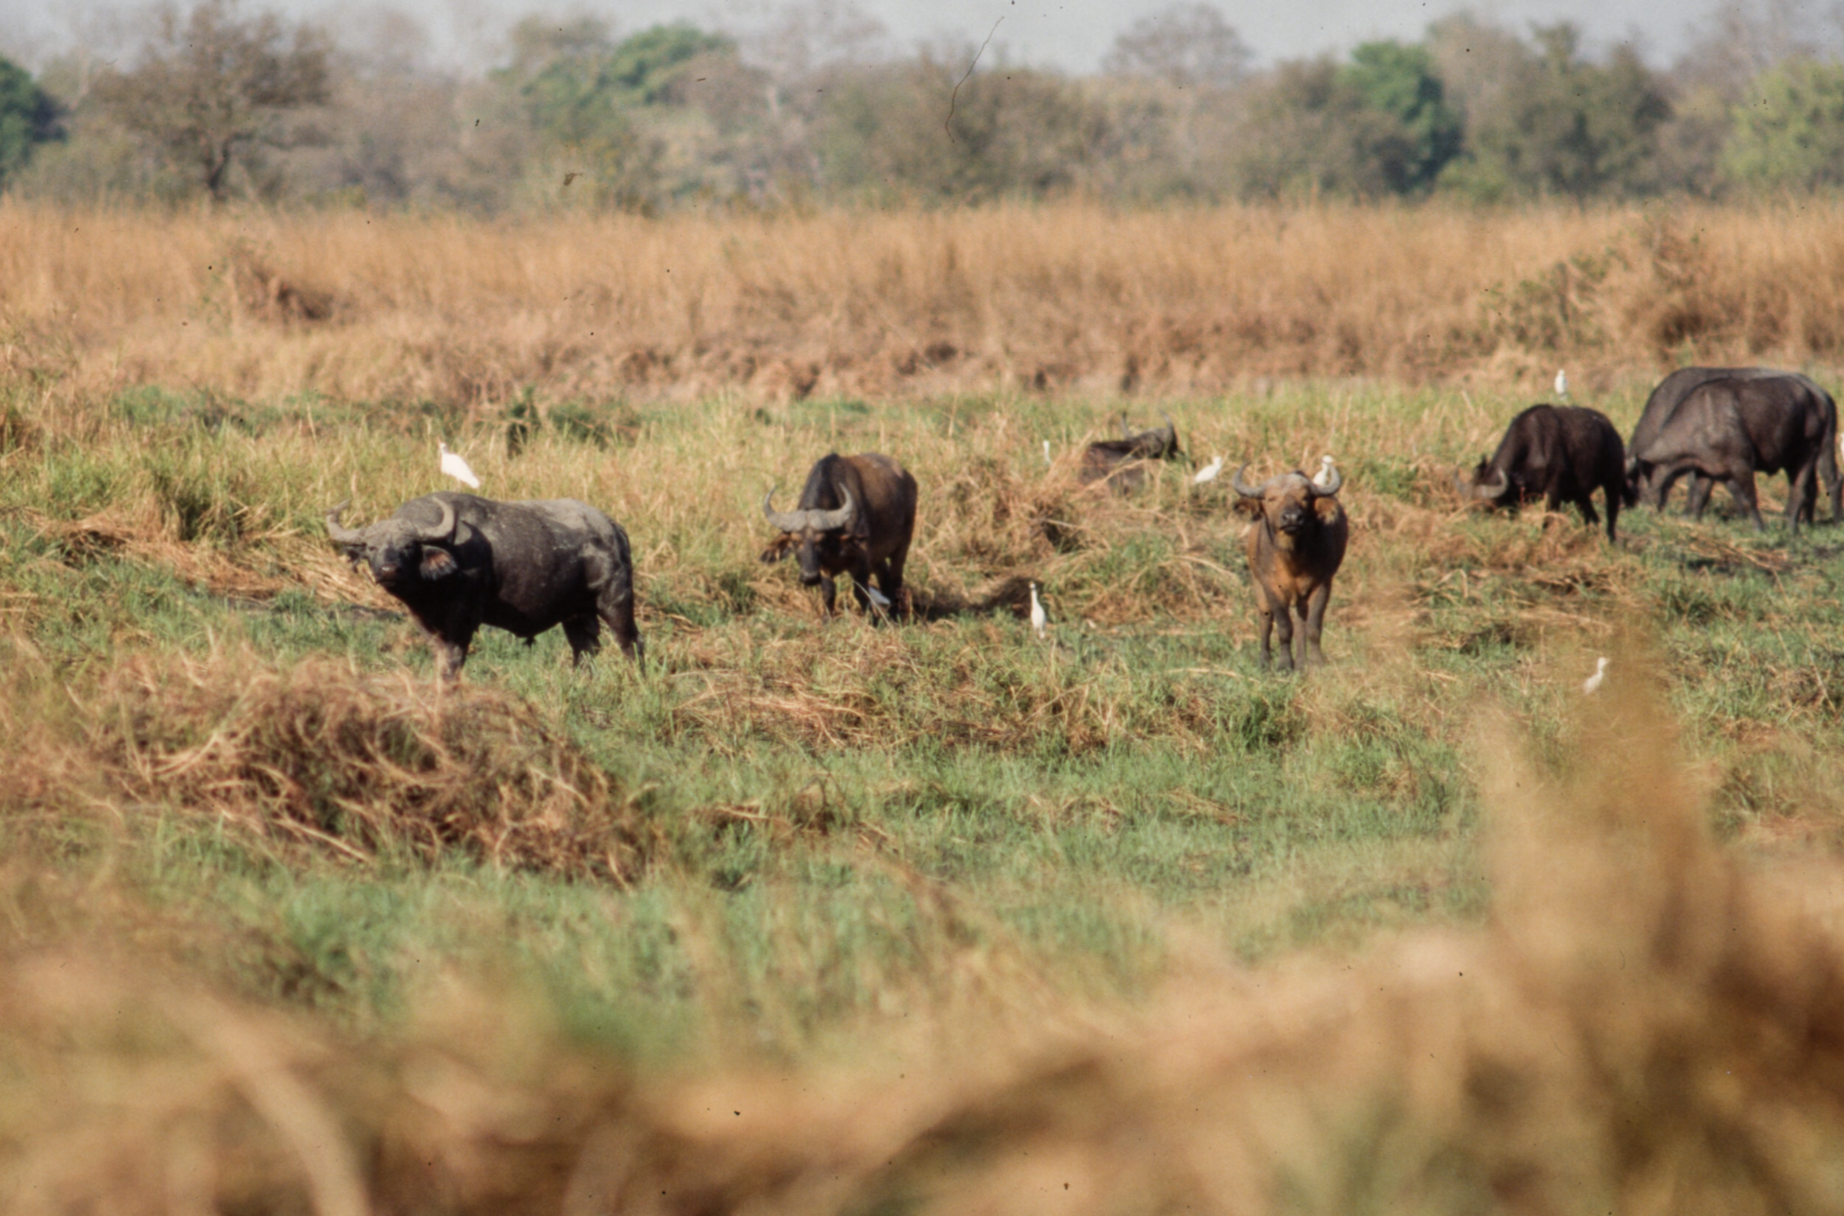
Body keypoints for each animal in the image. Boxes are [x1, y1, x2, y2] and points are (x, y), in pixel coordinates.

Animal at [328, 494, 645, 686]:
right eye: (371, 547)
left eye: (408, 546)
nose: (388, 570)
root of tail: (613, 527)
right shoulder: (426, 622)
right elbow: (439, 657)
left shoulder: (463, 620)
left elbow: (453, 659)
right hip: (576, 615)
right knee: (585, 649)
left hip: (615, 600)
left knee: (631, 643)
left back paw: (636, 682)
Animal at [759, 452, 918, 619]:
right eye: (795, 542)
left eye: (821, 541)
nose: (809, 578)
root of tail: (908, 478)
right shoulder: (824, 567)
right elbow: (828, 592)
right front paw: (827, 619)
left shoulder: (861, 561)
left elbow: (861, 592)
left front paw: (872, 619)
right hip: (878, 556)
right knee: (884, 577)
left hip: (902, 546)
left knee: (895, 579)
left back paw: (896, 615)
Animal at [1231, 466, 1349, 675]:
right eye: (1270, 498)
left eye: (1305, 497)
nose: (1292, 518)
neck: (1292, 561)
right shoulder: (1272, 587)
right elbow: (1284, 627)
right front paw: (1284, 665)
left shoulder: (1323, 584)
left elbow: (1313, 626)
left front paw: (1317, 662)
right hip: (1257, 584)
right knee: (1265, 620)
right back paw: (1264, 662)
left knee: (1302, 621)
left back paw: (1302, 663)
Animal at [1453, 405, 1630, 538]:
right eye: (1466, 506)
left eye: (1484, 507)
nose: (1472, 525)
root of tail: (1613, 432)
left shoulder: (1553, 493)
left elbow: (1547, 520)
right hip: (1581, 495)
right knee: (1592, 517)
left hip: (1613, 481)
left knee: (1611, 513)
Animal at [1630, 378, 1829, 535]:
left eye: (1641, 488)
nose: (1644, 514)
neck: (1699, 425)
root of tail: (1818, 399)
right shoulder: (1707, 470)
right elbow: (1699, 498)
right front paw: (1692, 521)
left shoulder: (1741, 465)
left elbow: (1749, 499)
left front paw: (1759, 528)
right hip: (1791, 459)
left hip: (1807, 452)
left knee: (1799, 489)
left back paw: (1790, 527)